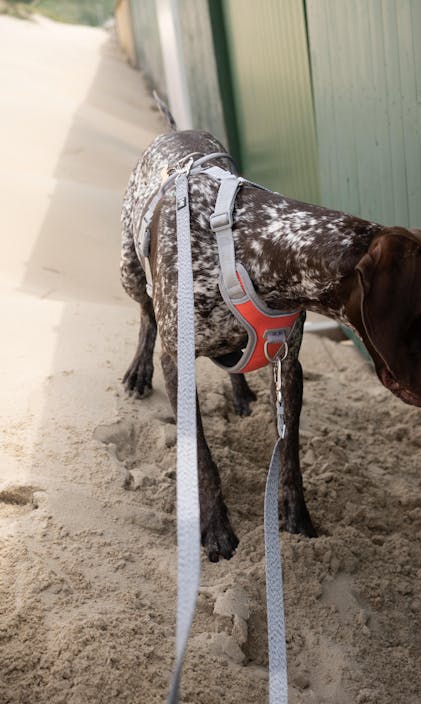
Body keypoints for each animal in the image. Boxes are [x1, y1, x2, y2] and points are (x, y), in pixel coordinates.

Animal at [120, 128, 420, 560]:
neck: (244, 250)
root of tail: (176, 131)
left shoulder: (289, 364)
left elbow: (289, 453)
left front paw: (296, 517)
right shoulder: (179, 364)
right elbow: (203, 460)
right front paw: (215, 528)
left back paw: (241, 393)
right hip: (128, 268)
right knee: (145, 312)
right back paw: (139, 371)